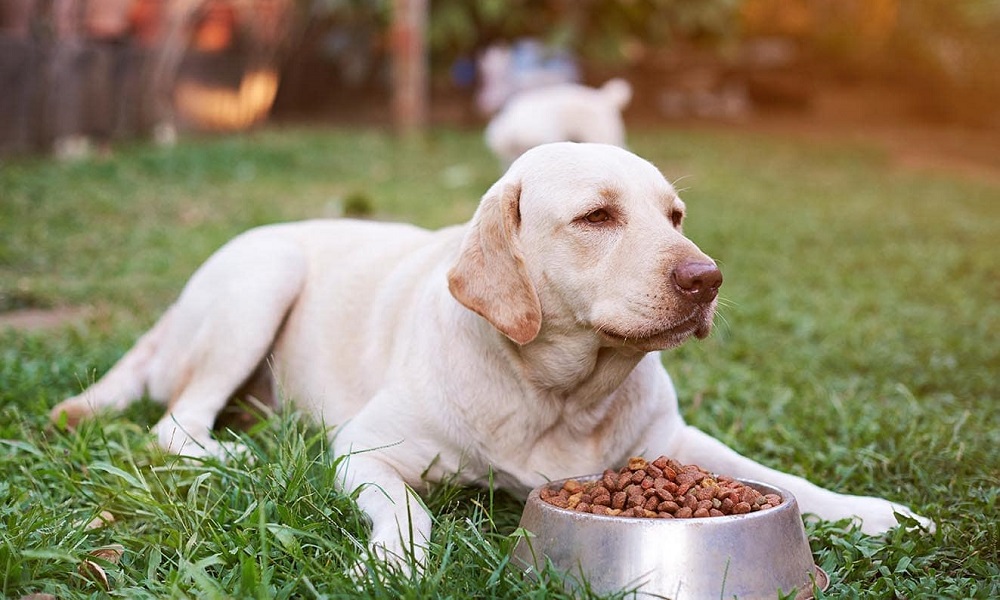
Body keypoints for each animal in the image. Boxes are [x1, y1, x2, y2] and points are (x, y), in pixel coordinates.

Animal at [50, 142, 924, 572]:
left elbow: (781, 479)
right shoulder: (364, 451)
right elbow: (408, 512)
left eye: (674, 215)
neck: (561, 394)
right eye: (597, 217)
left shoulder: (675, 445)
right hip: (264, 275)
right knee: (174, 427)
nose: (707, 279)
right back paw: (239, 454)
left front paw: (875, 511)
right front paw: (391, 563)